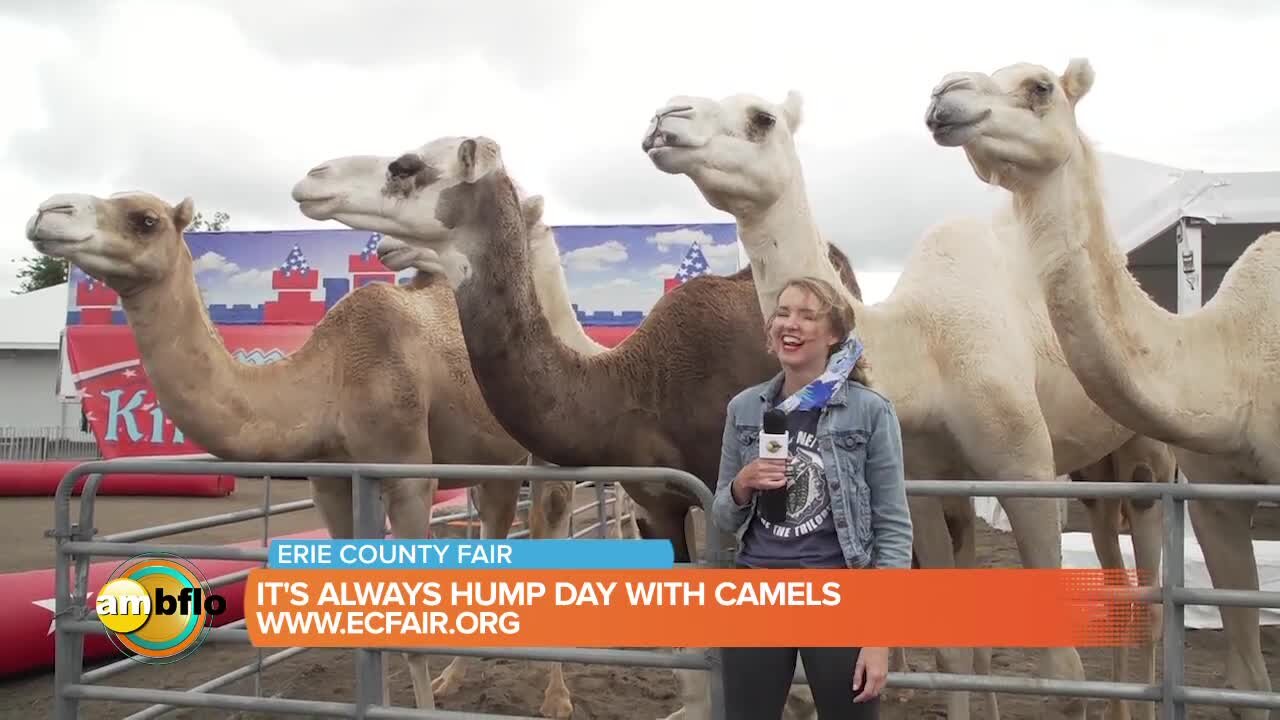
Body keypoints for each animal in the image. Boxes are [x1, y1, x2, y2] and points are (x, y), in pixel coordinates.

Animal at [21, 188, 619, 712]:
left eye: (145, 219)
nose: (48, 212)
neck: (327, 379)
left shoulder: (408, 471)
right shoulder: (331, 479)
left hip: (548, 452)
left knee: (551, 529)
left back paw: (557, 698)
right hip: (492, 461)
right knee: (496, 528)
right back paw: (456, 677)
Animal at [640, 88, 1177, 712]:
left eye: (761, 118)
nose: (664, 119)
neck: (926, 352)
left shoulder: (1026, 469)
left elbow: (1063, 675)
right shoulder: (922, 484)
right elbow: (953, 652)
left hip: (1146, 454)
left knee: (1151, 601)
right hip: (1096, 471)